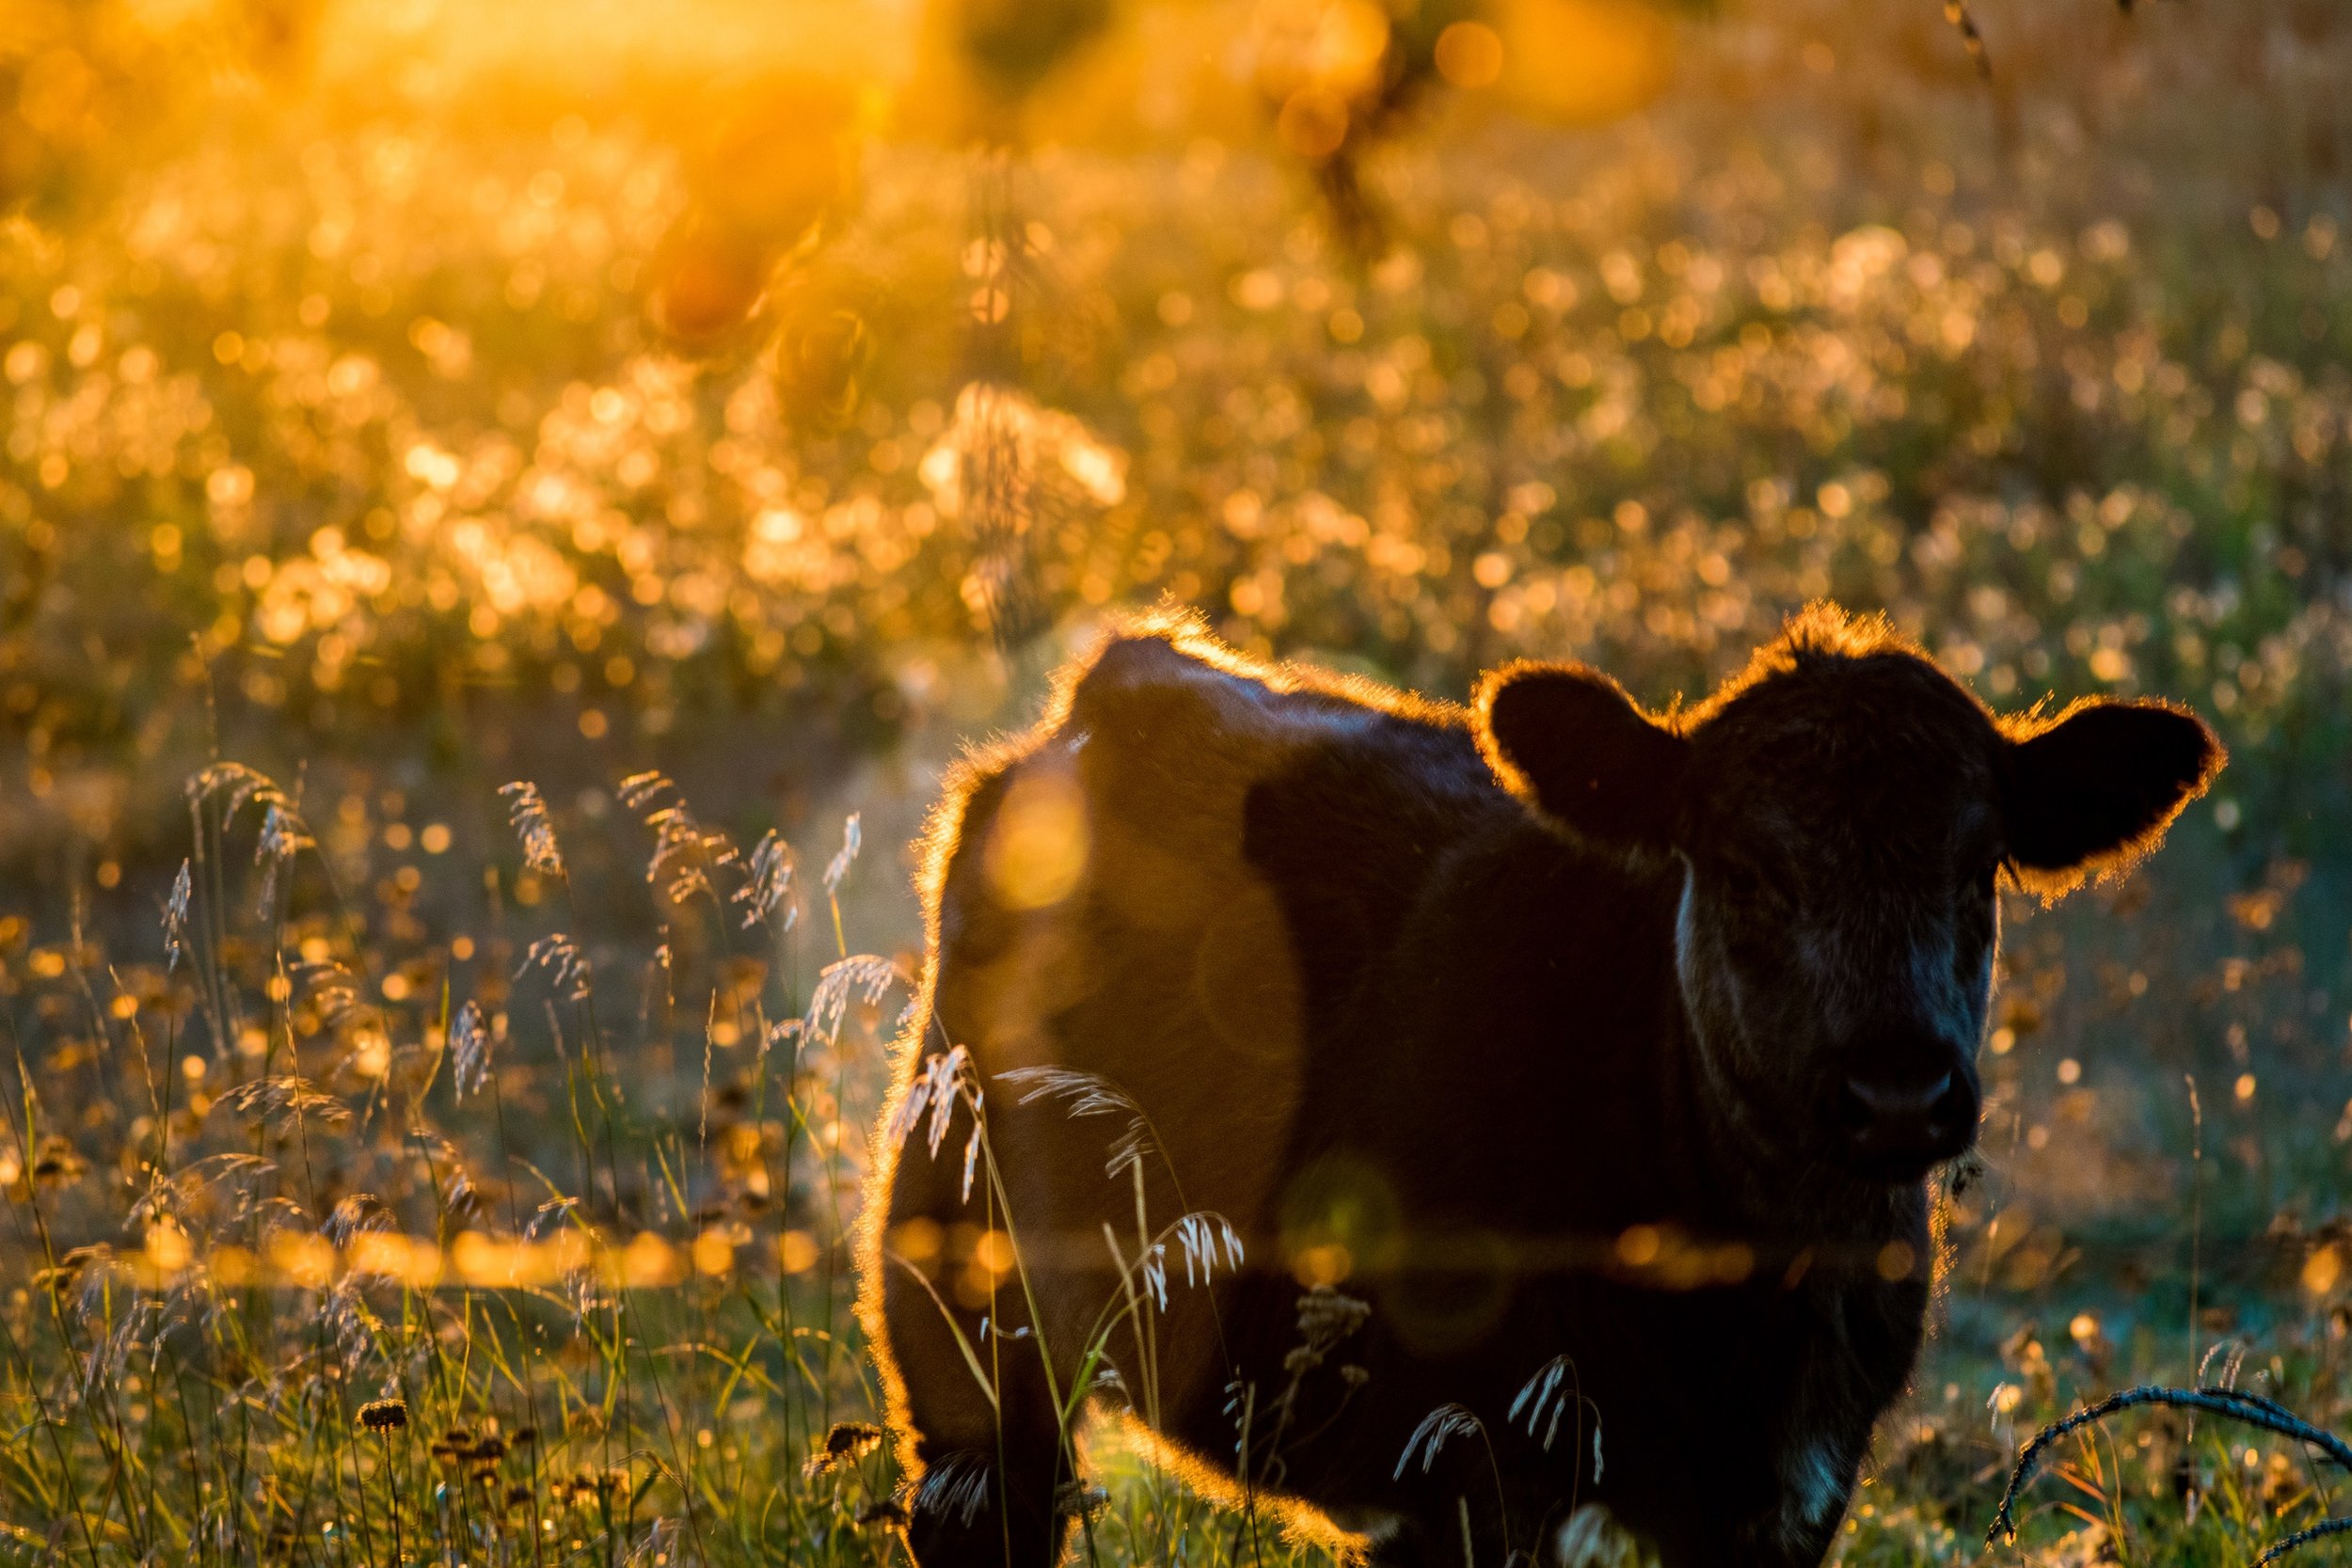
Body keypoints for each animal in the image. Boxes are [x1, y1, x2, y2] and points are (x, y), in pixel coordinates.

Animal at [857, 602, 2220, 1567]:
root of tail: (1123, 676)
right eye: (1741, 865)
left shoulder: (1794, 1488)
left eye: (1976, 864)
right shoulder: (1473, 1475)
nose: (1894, 1089)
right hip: (963, 1304)